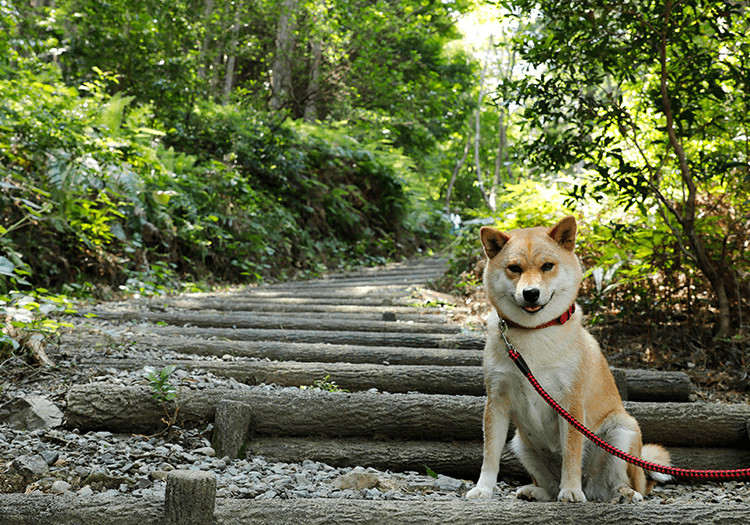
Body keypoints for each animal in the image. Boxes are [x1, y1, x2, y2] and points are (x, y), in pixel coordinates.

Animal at [468, 215, 672, 502]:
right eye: (514, 268)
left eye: (547, 266)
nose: (530, 293)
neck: (535, 332)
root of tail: (593, 486)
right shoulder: (497, 399)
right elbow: (490, 453)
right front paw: (484, 488)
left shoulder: (570, 402)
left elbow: (572, 452)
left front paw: (572, 489)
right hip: (521, 444)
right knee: (551, 488)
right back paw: (536, 491)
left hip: (622, 430)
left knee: (625, 482)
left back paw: (622, 493)